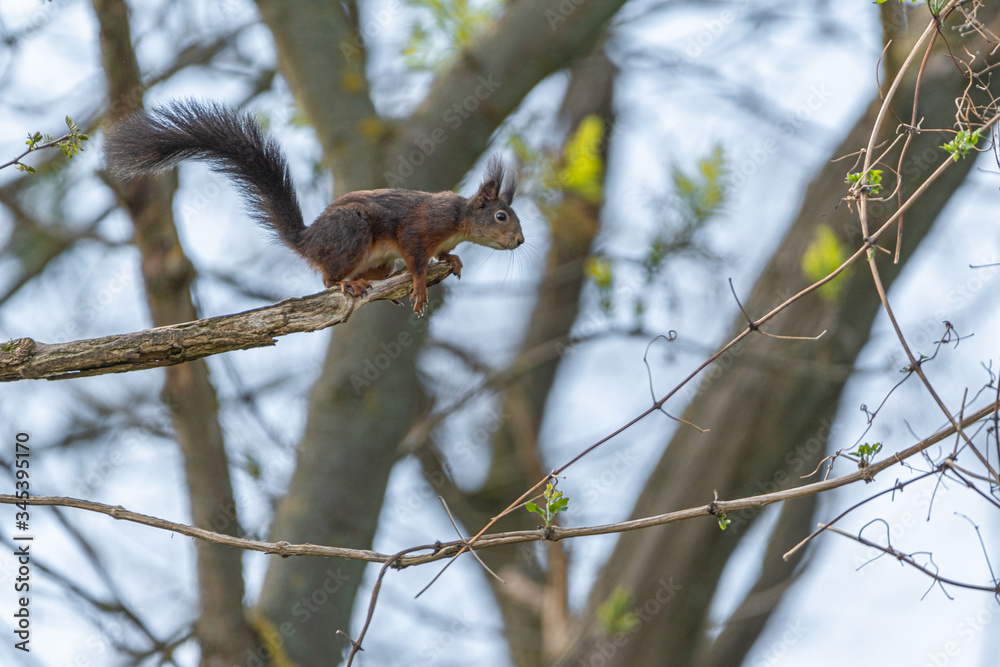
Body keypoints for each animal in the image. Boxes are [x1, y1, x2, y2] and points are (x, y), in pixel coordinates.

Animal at [103, 100, 524, 314]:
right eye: (501, 216)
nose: (520, 241)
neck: (459, 219)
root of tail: (306, 240)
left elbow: (442, 255)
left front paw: (452, 259)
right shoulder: (420, 228)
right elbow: (416, 258)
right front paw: (420, 287)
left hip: (375, 259)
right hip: (353, 232)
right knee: (325, 278)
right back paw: (346, 283)